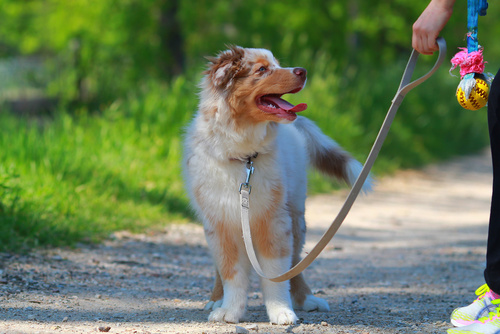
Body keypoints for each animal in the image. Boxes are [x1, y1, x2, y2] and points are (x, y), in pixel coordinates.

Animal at [184, 45, 372, 324]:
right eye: (262, 69)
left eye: (277, 63)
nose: (303, 70)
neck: (245, 156)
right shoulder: (220, 222)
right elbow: (231, 272)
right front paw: (229, 310)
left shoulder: (273, 220)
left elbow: (276, 274)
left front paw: (282, 311)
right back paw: (216, 298)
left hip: (296, 214)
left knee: (296, 262)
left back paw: (307, 299)